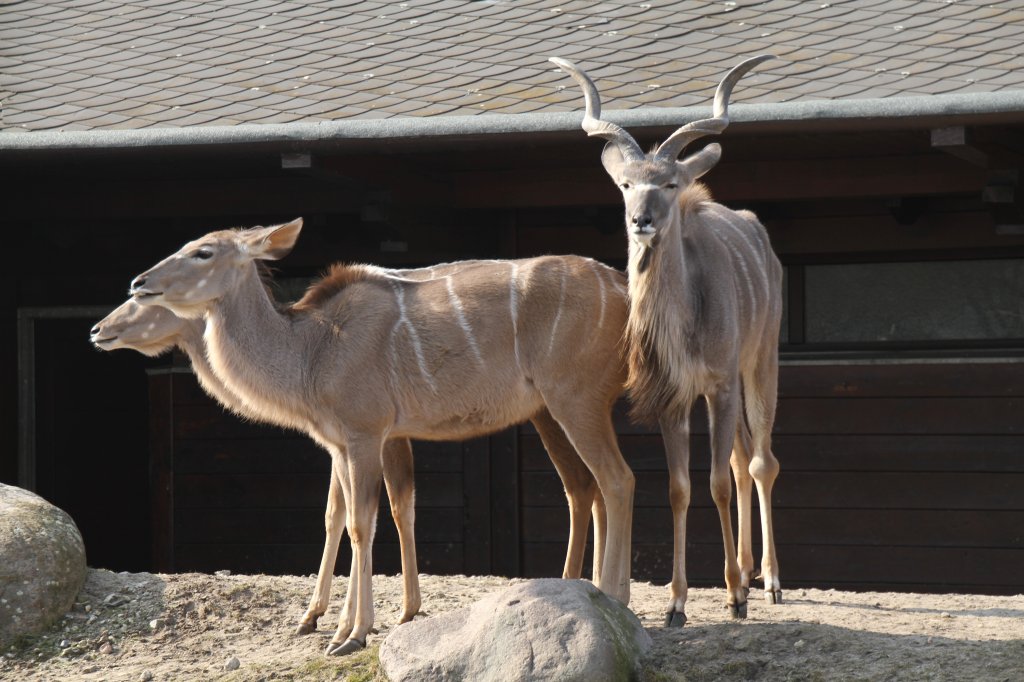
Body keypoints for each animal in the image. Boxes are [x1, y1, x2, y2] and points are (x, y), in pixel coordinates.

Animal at [126, 219, 630, 655]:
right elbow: (349, 517)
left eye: (204, 251)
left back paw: (613, 595)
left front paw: (352, 634)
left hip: (573, 399)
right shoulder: (343, 443)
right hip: (574, 408)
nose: (139, 282)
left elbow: (360, 524)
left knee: (616, 479)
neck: (312, 350)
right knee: (592, 486)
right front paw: (342, 624)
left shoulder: (365, 434)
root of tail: (622, 289)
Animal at [552, 55, 782, 622]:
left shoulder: (718, 385)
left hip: (760, 363)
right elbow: (680, 488)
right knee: (742, 461)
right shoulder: (675, 397)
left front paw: (734, 595)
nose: (642, 221)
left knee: (760, 462)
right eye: (626, 185)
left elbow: (716, 482)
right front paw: (677, 603)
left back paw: (767, 581)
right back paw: (748, 570)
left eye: (671, 184)